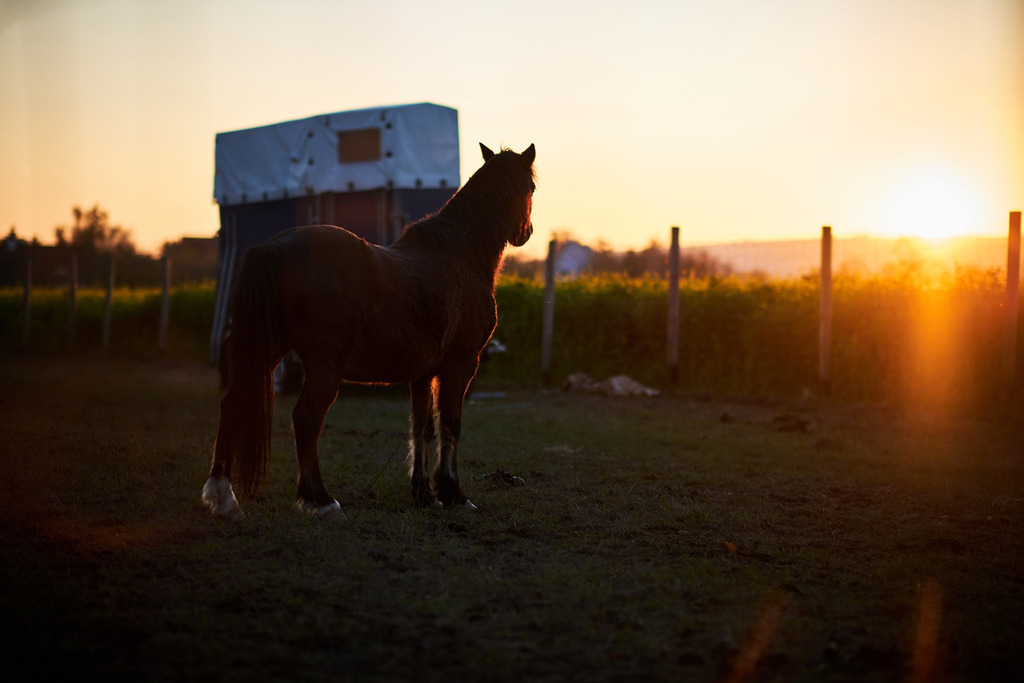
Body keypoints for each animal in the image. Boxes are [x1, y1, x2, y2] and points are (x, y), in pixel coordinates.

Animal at [202, 143, 536, 519]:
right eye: (531, 187)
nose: (525, 232)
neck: (458, 256)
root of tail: (274, 246)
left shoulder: (422, 373)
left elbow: (421, 426)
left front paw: (423, 494)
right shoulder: (461, 363)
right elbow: (450, 423)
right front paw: (454, 494)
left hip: (266, 355)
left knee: (231, 405)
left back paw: (223, 497)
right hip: (323, 368)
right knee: (305, 419)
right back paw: (321, 500)